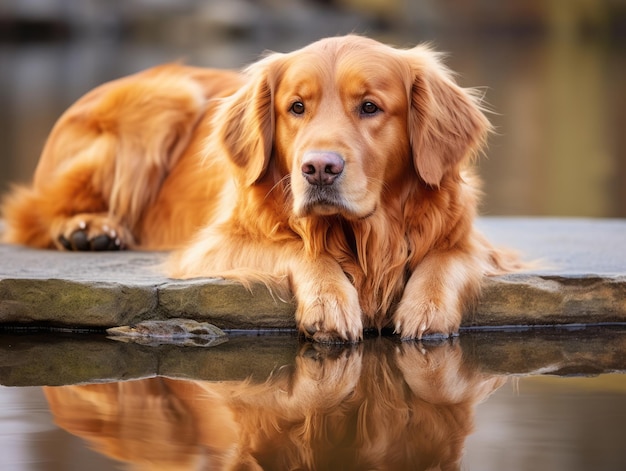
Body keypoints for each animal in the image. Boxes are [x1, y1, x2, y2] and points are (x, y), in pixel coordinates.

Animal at [0, 34, 516, 342]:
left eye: (370, 107)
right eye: (297, 107)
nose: (319, 169)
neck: (363, 234)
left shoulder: (477, 241)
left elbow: (447, 257)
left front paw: (426, 309)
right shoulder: (214, 245)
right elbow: (298, 249)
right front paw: (330, 299)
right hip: (163, 99)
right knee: (36, 213)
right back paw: (88, 228)